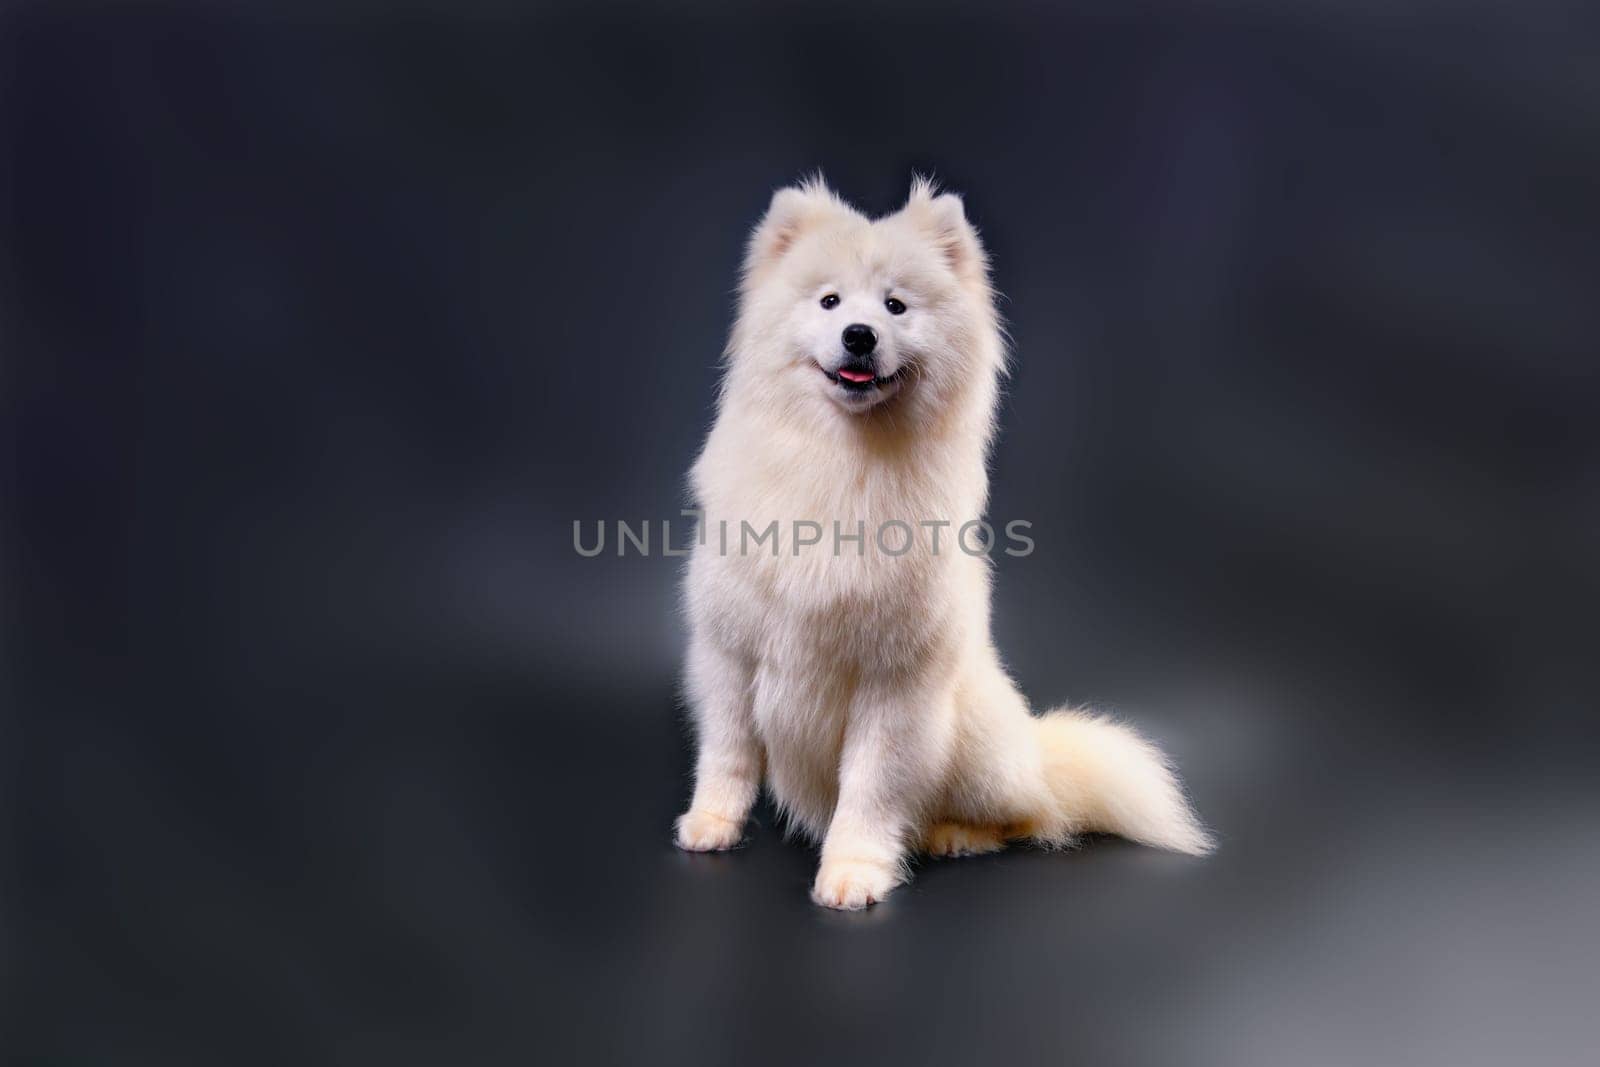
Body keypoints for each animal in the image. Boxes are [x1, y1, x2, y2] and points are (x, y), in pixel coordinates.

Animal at [668, 175, 1203, 908]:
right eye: (830, 300)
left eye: (896, 305)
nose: (859, 334)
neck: (844, 463)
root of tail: (1034, 747)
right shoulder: (730, 656)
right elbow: (726, 755)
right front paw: (712, 824)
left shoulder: (893, 684)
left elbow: (871, 786)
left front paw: (855, 870)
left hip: (973, 744)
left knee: (1030, 814)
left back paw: (955, 835)